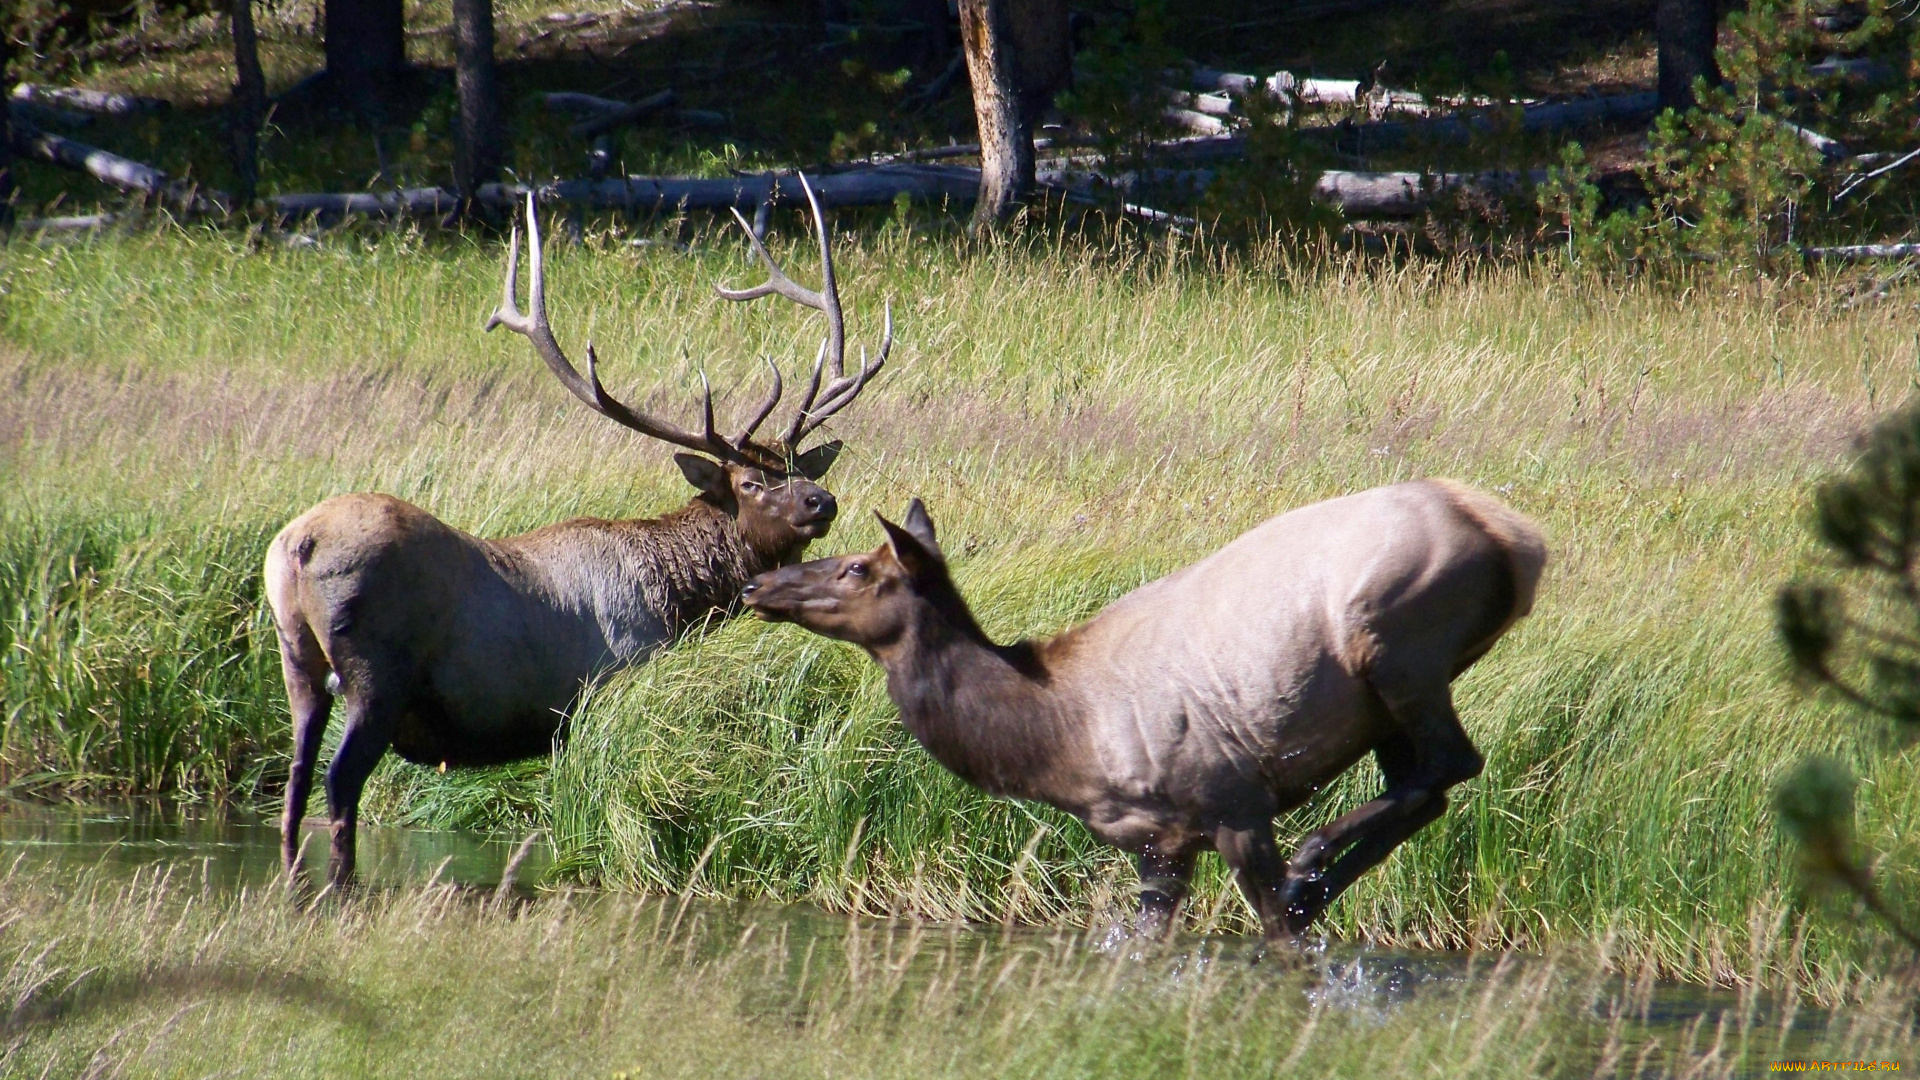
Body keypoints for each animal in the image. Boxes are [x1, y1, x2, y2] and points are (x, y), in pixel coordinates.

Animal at [266, 182, 887, 883]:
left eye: (797, 468)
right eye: (752, 484)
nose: (822, 500)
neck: (682, 601)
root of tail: (296, 547)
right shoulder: (601, 688)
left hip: (297, 661)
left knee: (294, 783)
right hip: (377, 672)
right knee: (339, 786)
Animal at [741, 480, 1551, 941]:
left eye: (857, 568)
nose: (757, 586)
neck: (1057, 741)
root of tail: (1518, 537)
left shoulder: (1233, 802)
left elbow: (1278, 938)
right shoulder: (1159, 843)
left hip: (1397, 645)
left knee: (1452, 761)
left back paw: (1313, 865)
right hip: (1393, 697)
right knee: (1428, 786)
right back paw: (1321, 879)